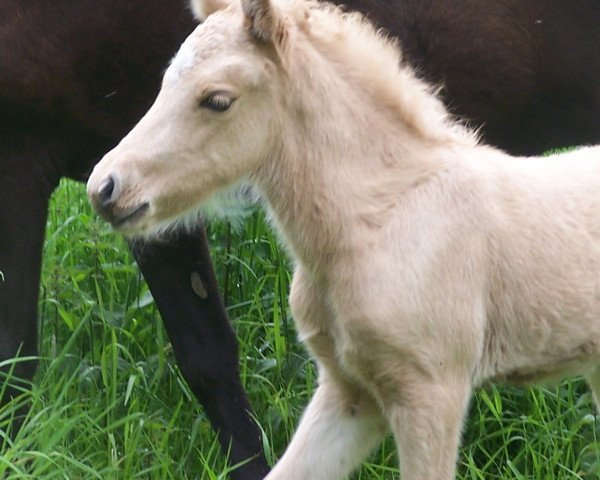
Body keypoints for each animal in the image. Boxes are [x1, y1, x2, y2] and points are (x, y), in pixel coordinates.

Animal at [2, 0, 596, 478]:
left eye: (217, 100)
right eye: (163, 81)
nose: (106, 188)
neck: (384, 214)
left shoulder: (432, 390)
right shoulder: (349, 392)